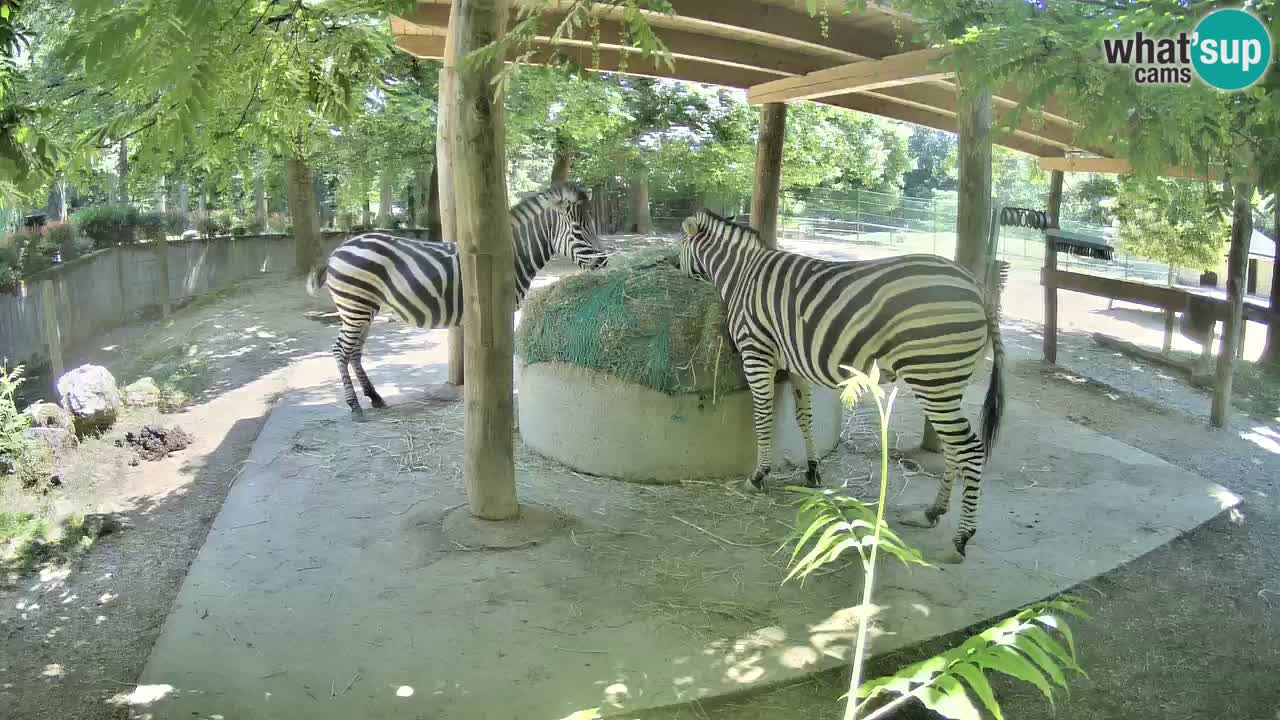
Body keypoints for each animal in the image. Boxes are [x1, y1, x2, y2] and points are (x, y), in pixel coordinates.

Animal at [306, 183, 608, 417]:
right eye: (579, 230)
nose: (604, 262)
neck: (510, 258)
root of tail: (338, 250)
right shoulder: (499, 309)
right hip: (354, 306)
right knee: (340, 351)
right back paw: (354, 405)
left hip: (364, 308)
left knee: (354, 352)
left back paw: (375, 397)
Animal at [677, 209, 1007, 560]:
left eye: (680, 243)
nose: (669, 263)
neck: (741, 274)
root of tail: (977, 286)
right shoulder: (795, 364)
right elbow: (804, 418)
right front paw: (811, 471)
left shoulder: (756, 353)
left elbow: (763, 417)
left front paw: (758, 475)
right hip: (945, 382)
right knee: (954, 448)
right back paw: (931, 513)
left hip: (934, 378)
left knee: (970, 449)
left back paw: (962, 537)